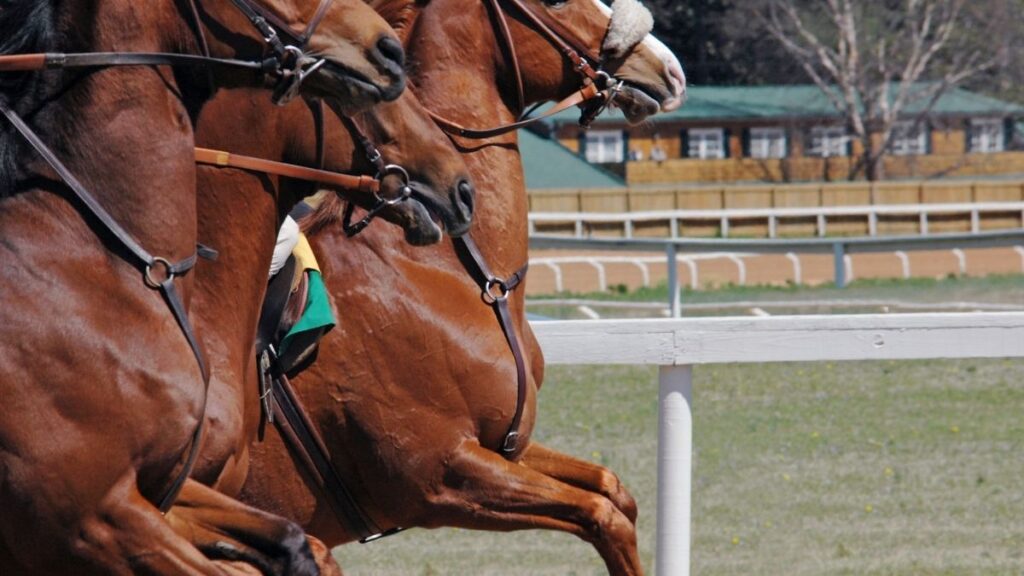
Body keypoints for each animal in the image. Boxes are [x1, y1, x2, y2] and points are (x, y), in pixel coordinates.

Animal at [235, 0, 685, 574]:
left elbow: (611, 489)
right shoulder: (445, 477)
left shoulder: (506, 447)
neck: (444, 269)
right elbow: (602, 515)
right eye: (556, 3)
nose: (670, 69)